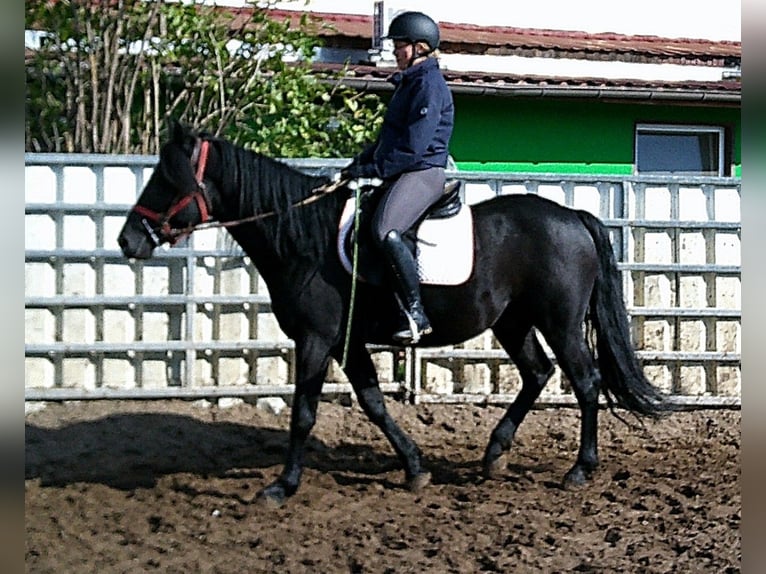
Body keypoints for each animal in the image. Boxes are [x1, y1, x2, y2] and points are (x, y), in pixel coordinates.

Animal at [117, 123, 667, 507]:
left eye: (167, 180)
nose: (128, 241)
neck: (305, 237)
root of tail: (573, 216)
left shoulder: (316, 339)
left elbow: (303, 413)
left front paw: (282, 486)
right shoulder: (347, 343)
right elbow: (374, 403)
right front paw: (415, 468)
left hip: (560, 321)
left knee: (585, 381)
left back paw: (579, 469)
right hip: (512, 321)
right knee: (537, 373)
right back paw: (494, 454)